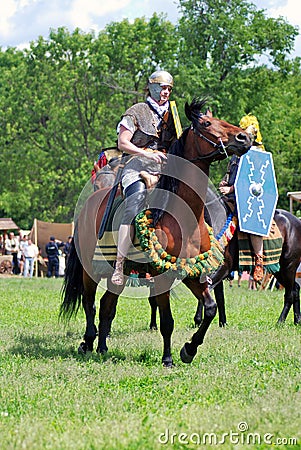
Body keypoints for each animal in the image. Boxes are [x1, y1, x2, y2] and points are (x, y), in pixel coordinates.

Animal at [59, 98, 251, 366]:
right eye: (206, 123)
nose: (244, 137)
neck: (183, 215)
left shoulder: (191, 271)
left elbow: (210, 308)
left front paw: (189, 349)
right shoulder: (162, 275)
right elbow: (167, 321)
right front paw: (168, 358)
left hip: (118, 274)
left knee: (107, 306)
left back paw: (103, 347)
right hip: (90, 270)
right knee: (90, 304)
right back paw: (87, 342)